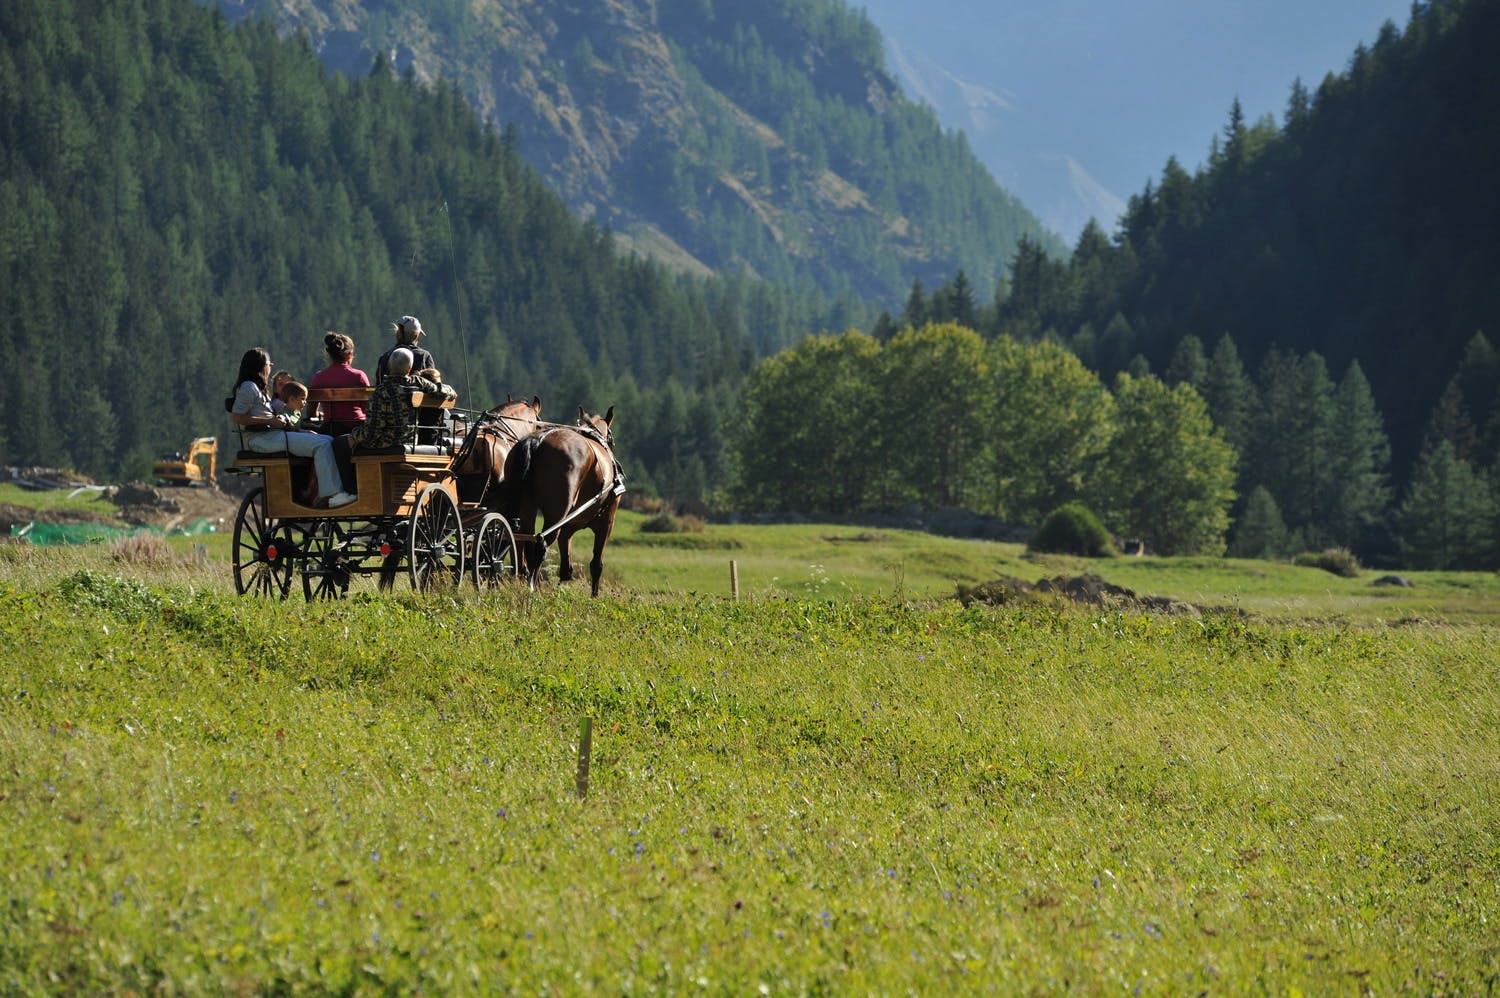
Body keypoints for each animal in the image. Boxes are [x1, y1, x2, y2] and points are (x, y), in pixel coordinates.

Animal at [498, 408, 621, 594]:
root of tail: (538, 440)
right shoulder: (606, 522)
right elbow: (596, 565)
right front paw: (594, 596)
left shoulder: (568, 528)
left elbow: (566, 569)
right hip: (556, 515)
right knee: (541, 545)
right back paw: (532, 587)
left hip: (526, 509)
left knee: (522, 543)